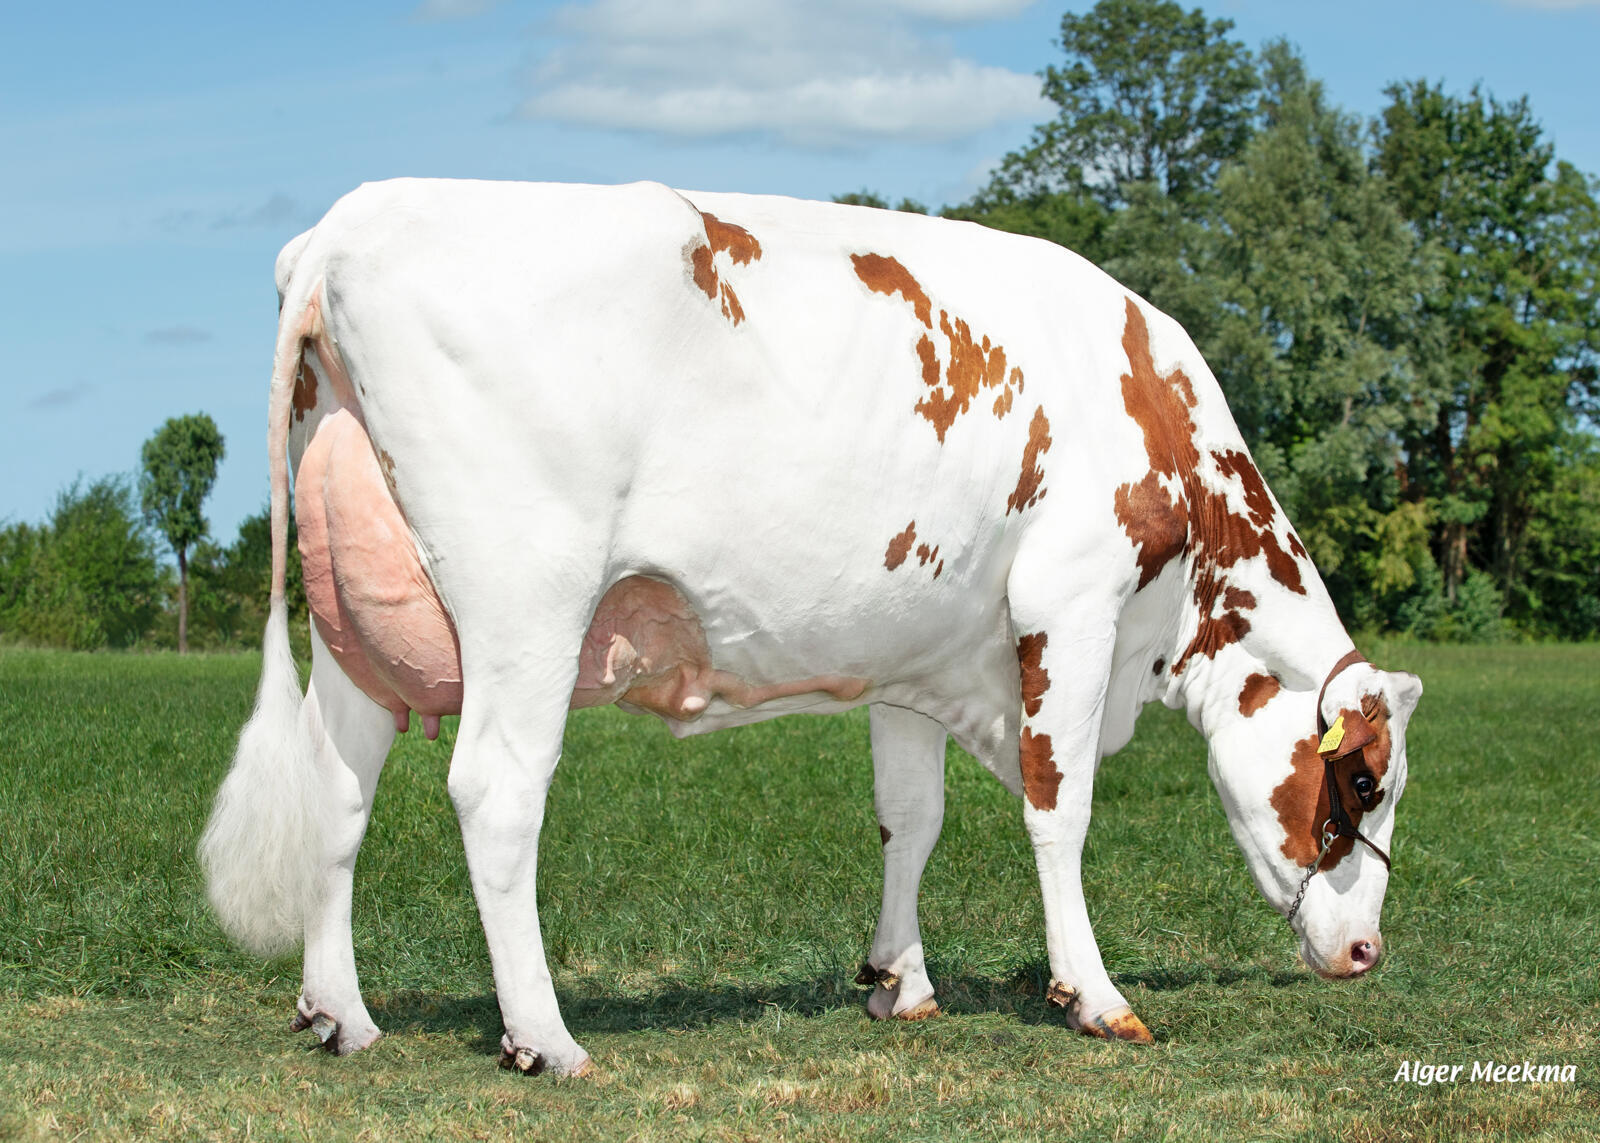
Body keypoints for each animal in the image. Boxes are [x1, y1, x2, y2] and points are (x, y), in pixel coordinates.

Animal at [199, 178, 1422, 1076]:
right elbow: (1059, 809)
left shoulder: (917, 654)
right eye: (1362, 780)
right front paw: (1096, 995)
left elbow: (910, 818)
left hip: (356, 612)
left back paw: (341, 1014)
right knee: (496, 793)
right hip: (525, 599)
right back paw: (544, 1037)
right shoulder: (1070, 604)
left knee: (338, 786)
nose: (1367, 950)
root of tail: (348, 221)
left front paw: (900, 981)